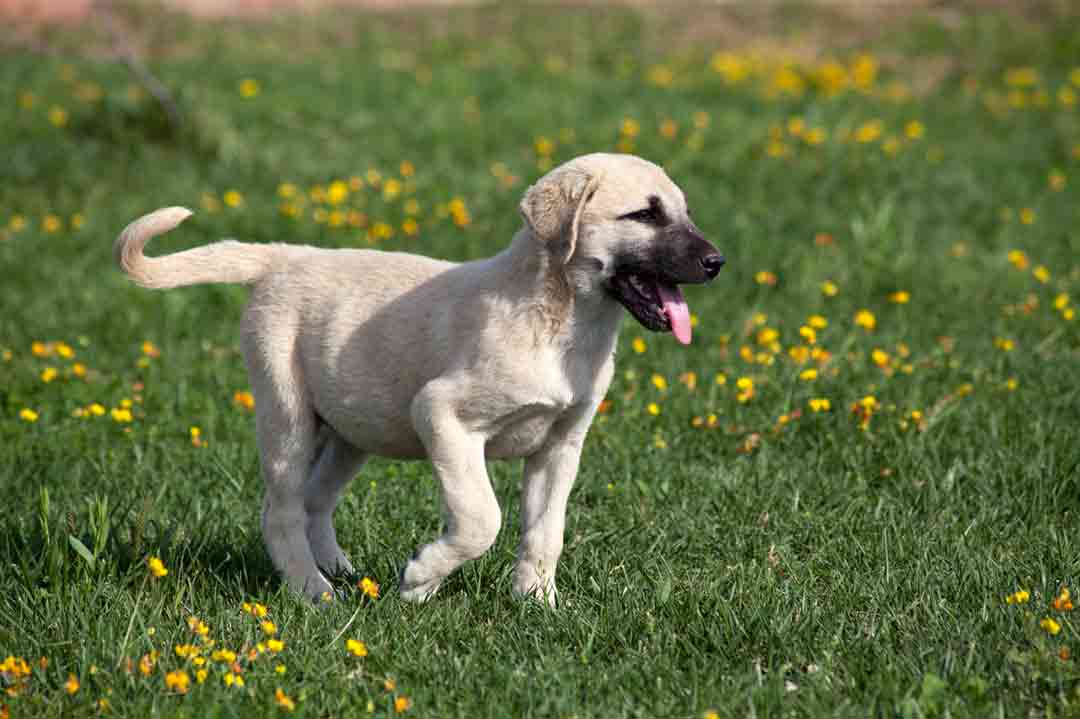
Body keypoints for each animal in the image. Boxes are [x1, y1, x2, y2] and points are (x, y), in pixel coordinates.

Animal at [116, 152, 725, 604]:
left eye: (683, 212)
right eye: (644, 215)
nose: (717, 262)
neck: (562, 322)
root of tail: (287, 257)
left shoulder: (560, 446)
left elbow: (545, 531)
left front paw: (537, 603)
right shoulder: (442, 414)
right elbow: (481, 517)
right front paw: (420, 579)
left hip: (351, 429)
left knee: (315, 500)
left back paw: (338, 571)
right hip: (286, 414)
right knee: (281, 511)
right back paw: (315, 593)